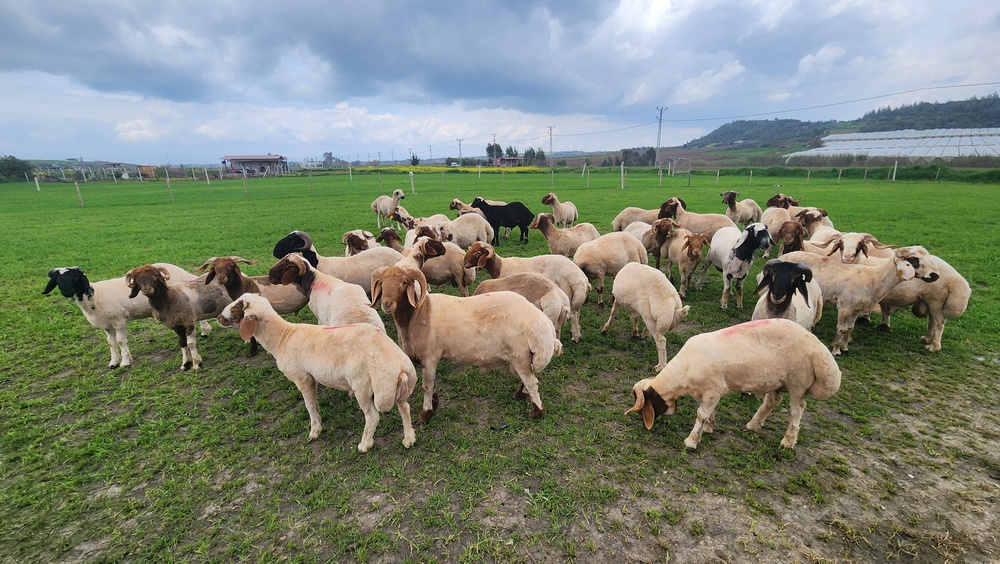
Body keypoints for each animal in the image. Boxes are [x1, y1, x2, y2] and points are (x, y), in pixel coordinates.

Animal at [42, 264, 212, 368]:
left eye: (75, 276)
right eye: (57, 279)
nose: (66, 291)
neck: (94, 297)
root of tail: (182, 272)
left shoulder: (119, 322)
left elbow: (121, 341)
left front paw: (125, 362)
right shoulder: (107, 326)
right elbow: (111, 343)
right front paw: (113, 362)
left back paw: (204, 331)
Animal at [217, 293, 416, 452]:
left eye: (237, 307)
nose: (219, 317)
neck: (283, 337)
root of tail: (399, 365)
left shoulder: (302, 377)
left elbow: (309, 404)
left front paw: (315, 430)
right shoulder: (311, 377)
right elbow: (315, 402)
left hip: (364, 386)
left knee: (373, 416)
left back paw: (365, 444)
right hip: (395, 388)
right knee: (404, 407)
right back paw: (409, 438)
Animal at [370, 265, 561, 423]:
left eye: (404, 282)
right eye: (381, 283)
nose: (387, 304)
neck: (419, 313)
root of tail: (543, 322)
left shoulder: (430, 356)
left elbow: (426, 386)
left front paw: (426, 413)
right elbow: (432, 383)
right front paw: (434, 402)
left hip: (519, 355)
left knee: (532, 382)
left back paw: (536, 412)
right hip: (524, 357)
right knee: (529, 379)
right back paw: (520, 394)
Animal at [625, 318, 841, 450]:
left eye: (645, 407)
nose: (644, 425)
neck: (683, 373)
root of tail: (818, 348)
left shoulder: (713, 390)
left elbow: (701, 415)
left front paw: (692, 440)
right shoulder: (711, 394)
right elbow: (709, 413)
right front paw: (709, 428)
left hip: (798, 381)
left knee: (798, 409)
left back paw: (788, 441)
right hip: (776, 381)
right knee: (772, 401)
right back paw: (753, 425)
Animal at [779, 246, 939, 355]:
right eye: (913, 259)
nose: (935, 276)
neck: (874, 279)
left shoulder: (855, 309)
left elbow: (850, 328)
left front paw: (844, 348)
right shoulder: (845, 307)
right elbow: (842, 329)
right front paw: (836, 350)